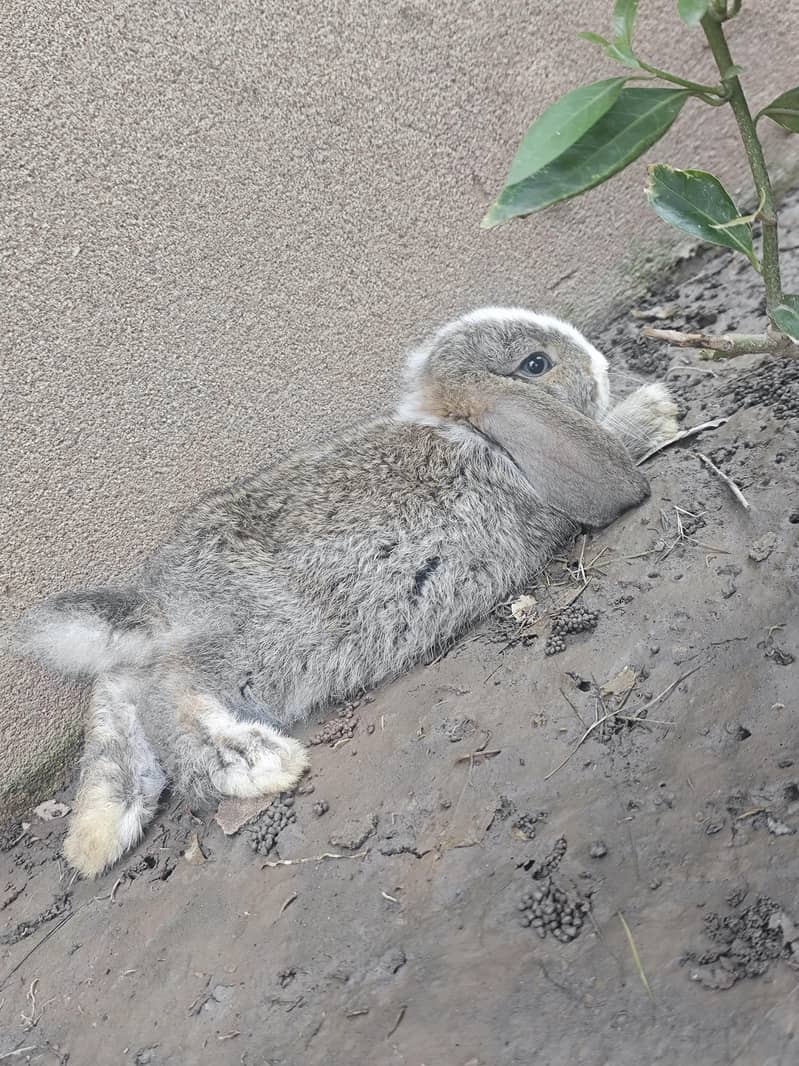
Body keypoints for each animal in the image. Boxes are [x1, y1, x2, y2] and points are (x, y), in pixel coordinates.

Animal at [9, 306, 679, 878]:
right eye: (536, 364)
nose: (602, 363)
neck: (472, 430)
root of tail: (157, 608)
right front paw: (657, 411)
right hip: (254, 650)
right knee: (170, 701)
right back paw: (257, 764)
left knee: (118, 706)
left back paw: (99, 831)